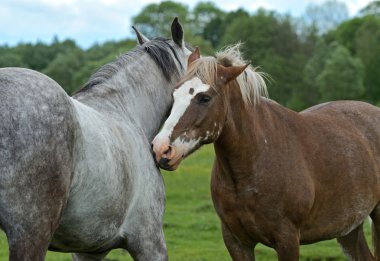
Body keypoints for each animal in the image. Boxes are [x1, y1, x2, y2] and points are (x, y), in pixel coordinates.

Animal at [153, 45, 380, 260]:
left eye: (204, 98)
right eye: (174, 94)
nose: (161, 149)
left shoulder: (287, 240)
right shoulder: (236, 241)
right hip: (349, 228)